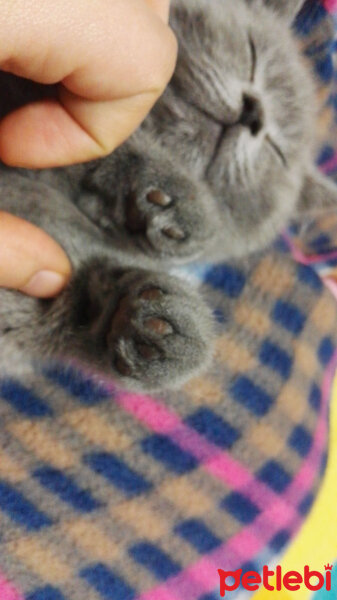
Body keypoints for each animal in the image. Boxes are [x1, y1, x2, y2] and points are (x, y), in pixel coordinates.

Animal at [0, 0, 334, 392]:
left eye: (277, 151)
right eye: (252, 52)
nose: (254, 113)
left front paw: (140, 320)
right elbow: (90, 140)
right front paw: (173, 197)